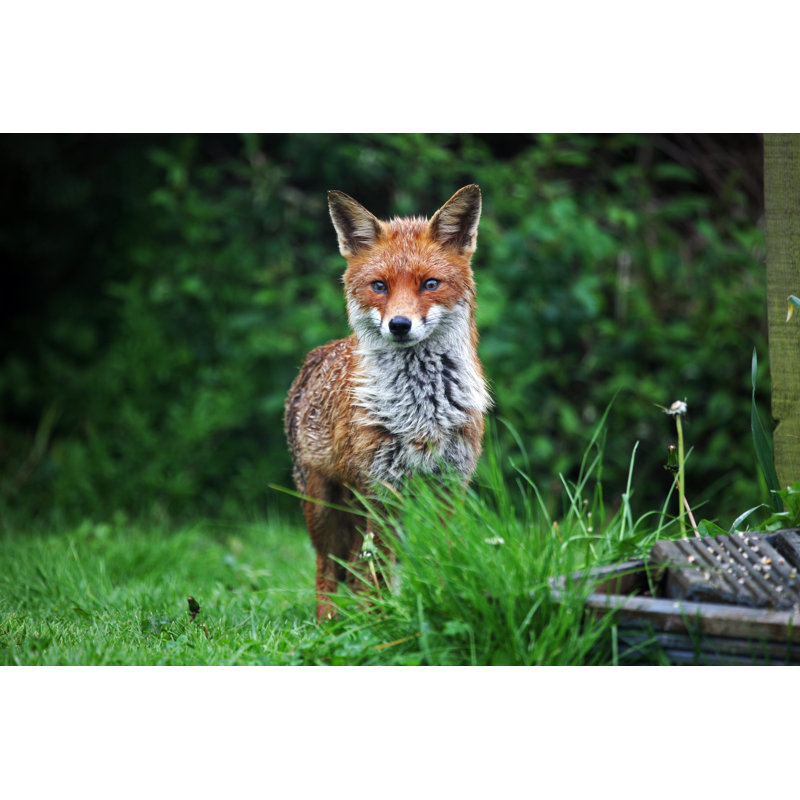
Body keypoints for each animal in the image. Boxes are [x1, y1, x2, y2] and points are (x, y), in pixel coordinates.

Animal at [284, 185, 491, 620]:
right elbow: (373, 569)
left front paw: (442, 601)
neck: (422, 411)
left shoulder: (451, 485)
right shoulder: (381, 487)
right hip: (322, 504)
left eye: (430, 283)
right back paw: (328, 622)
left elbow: (443, 556)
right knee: (327, 568)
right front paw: (378, 623)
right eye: (379, 286)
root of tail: (317, 355)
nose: (399, 325)